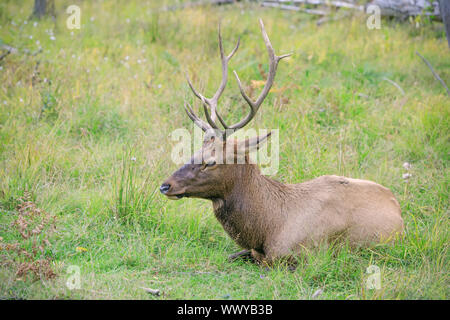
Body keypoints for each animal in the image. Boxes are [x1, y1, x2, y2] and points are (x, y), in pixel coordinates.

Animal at [161, 20, 404, 264]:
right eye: (193, 152)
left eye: (210, 162)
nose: (165, 185)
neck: (268, 228)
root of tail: (397, 205)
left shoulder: (304, 255)